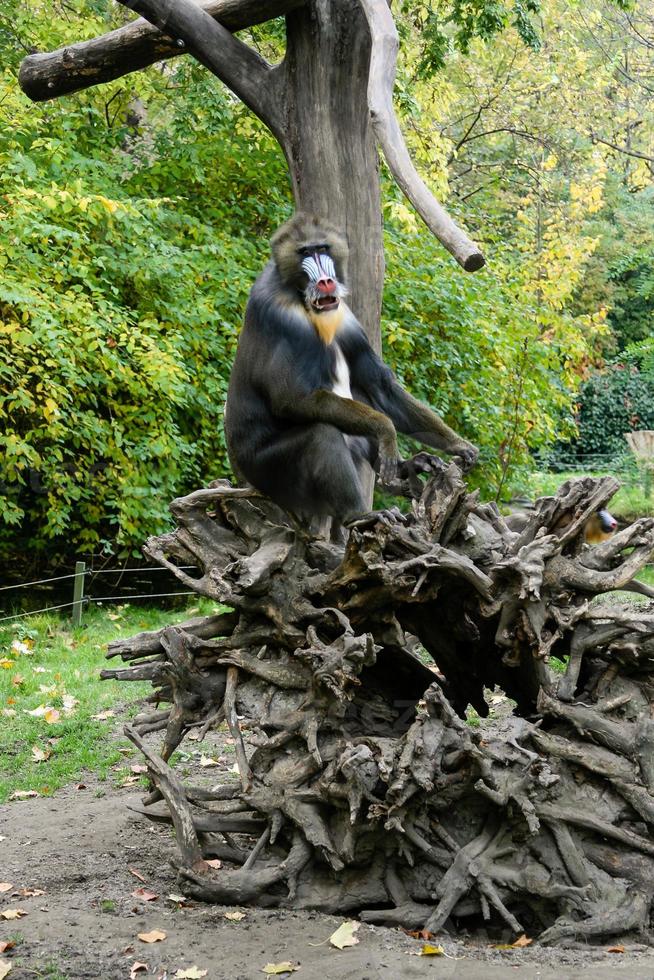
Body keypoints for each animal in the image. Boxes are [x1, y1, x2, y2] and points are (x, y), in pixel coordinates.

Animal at [224, 213, 476, 528]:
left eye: (323, 248)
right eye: (305, 252)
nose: (326, 281)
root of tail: (245, 480)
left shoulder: (347, 320)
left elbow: (381, 388)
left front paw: (458, 445)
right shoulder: (284, 319)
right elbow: (292, 399)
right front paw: (387, 432)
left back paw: (408, 467)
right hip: (272, 474)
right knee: (321, 434)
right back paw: (359, 514)